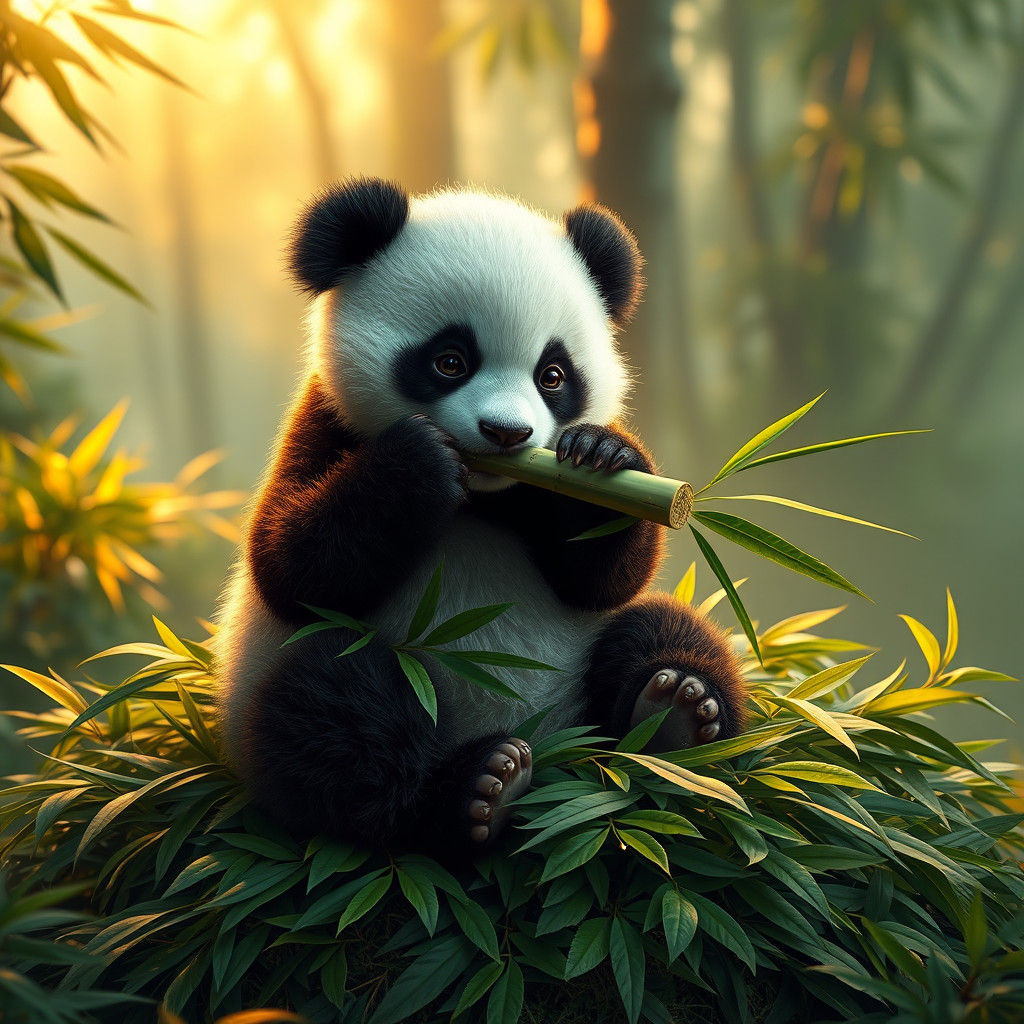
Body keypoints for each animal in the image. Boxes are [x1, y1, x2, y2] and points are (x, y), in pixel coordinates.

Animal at [215, 177, 748, 857]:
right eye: (451, 360)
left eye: (553, 375)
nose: (506, 432)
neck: (484, 495)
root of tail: (553, 754)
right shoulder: (326, 423)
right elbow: (289, 568)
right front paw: (417, 466)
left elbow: (602, 581)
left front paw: (601, 454)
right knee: (331, 711)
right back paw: (478, 790)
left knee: (664, 629)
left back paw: (677, 713)